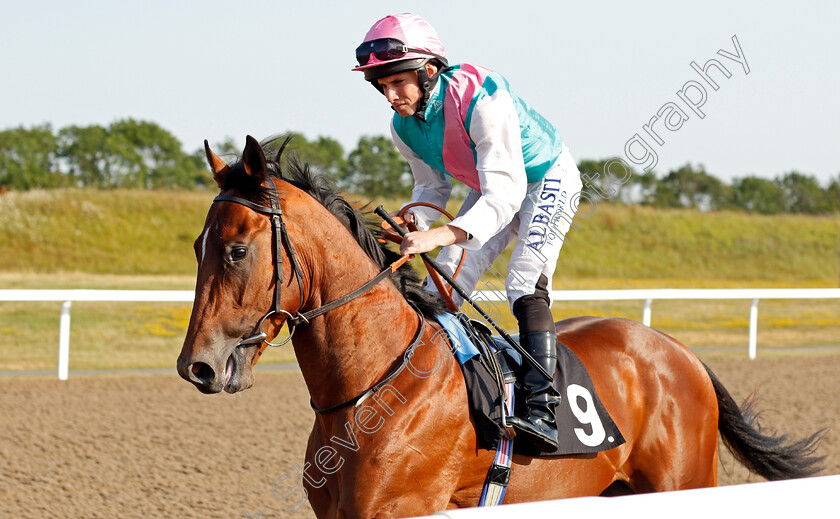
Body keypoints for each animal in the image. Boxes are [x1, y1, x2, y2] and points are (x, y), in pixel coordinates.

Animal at [179, 136, 820, 516]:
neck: (377, 384)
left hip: (685, 482)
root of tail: (677, 351)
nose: (197, 366)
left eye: (236, 251)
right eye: (197, 245)